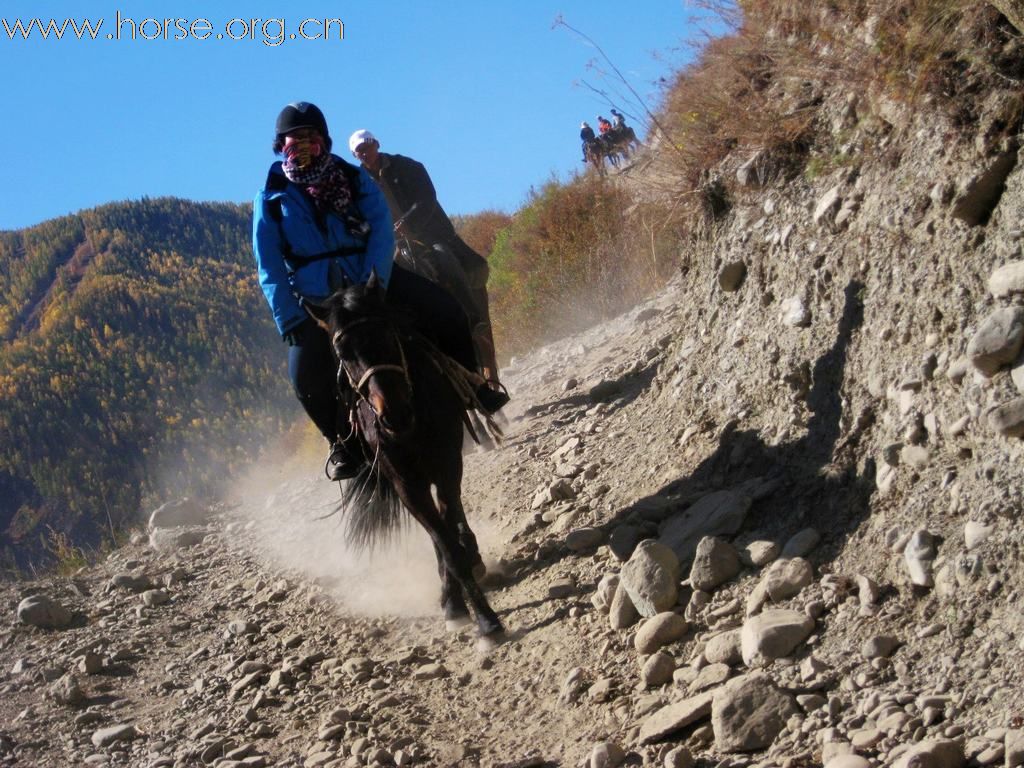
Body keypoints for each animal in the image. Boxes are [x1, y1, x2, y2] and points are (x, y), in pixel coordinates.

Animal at [307, 274, 507, 651]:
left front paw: (482, 615)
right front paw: (470, 612)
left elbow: (450, 527)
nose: (395, 415)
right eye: (342, 354)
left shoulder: (447, 465)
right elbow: (443, 542)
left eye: (387, 333)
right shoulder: (405, 483)